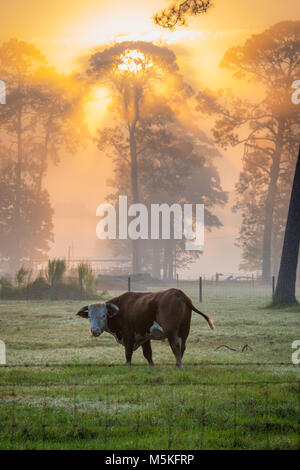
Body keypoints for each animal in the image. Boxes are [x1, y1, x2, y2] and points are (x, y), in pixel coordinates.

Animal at [76, 286, 214, 368]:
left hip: (171, 331)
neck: (121, 309)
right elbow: (148, 354)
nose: (94, 330)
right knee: (182, 347)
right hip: (184, 330)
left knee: (175, 347)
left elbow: (128, 354)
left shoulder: (128, 335)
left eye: (103, 315)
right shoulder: (144, 336)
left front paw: (128, 366)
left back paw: (178, 366)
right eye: (89, 316)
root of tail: (178, 292)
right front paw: (152, 366)